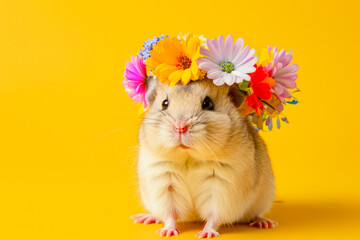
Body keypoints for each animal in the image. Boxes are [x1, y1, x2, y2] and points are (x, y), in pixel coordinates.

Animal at [131, 76, 278, 237]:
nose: (180, 127)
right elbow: (170, 213)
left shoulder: (222, 188)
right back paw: (144, 218)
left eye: (208, 103)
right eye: (165, 103)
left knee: (255, 214)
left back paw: (265, 223)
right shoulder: (165, 183)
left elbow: (214, 216)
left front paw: (205, 234)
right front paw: (167, 232)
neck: (189, 157)